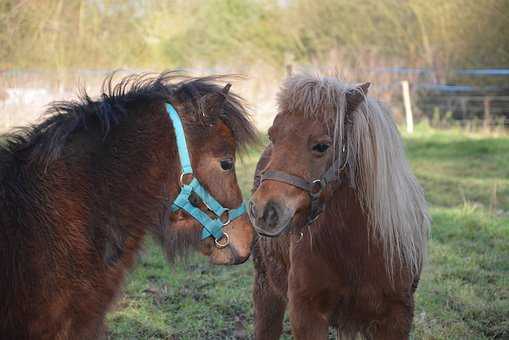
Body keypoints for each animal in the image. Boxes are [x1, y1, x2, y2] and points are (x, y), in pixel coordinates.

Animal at [249, 73, 428, 338]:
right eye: (273, 136)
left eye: (322, 146)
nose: (263, 210)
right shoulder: (307, 314)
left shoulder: (395, 319)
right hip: (266, 289)